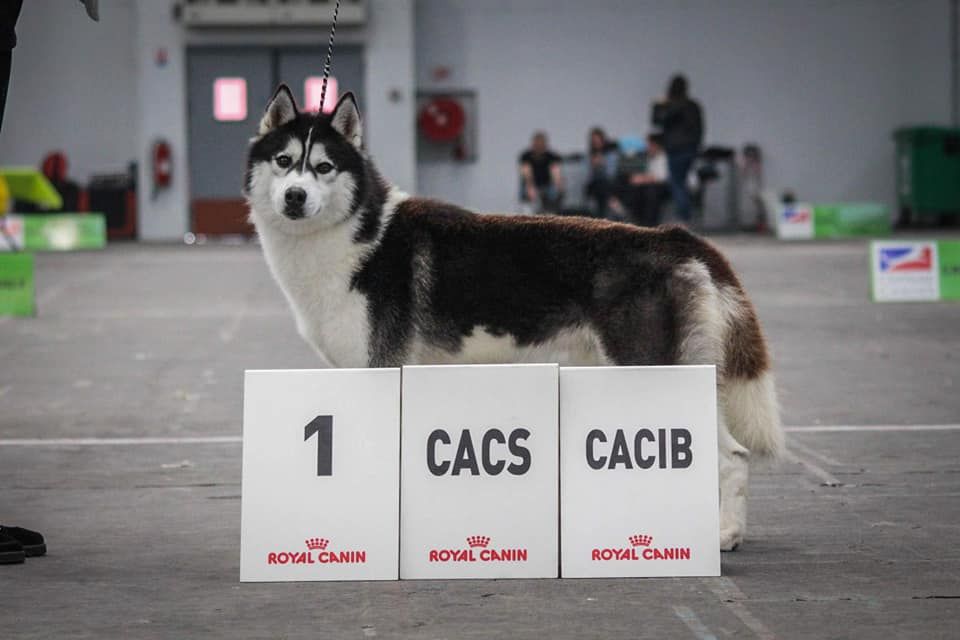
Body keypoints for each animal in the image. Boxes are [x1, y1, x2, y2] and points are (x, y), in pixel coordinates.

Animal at [246, 85, 780, 552]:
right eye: (284, 162)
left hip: (654, 370)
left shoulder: (379, 368)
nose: (295, 197)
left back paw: (722, 536)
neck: (357, 238)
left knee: (728, 455)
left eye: (324, 167)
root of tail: (674, 235)